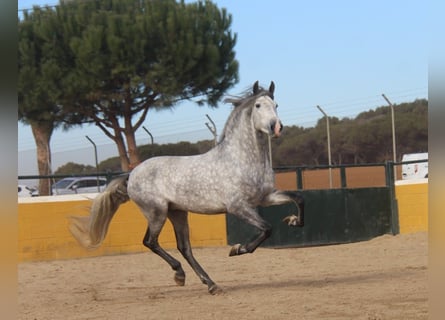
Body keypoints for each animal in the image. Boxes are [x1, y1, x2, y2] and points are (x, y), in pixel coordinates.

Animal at [69, 80, 304, 296]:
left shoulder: (265, 197)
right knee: (150, 241)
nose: (276, 127)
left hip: (178, 213)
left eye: (276, 104)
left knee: (184, 247)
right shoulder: (238, 206)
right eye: (258, 105)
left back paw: (210, 284)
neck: (240, 159)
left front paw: (293, 221)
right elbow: (267, 228)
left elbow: (297, 198)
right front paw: (237, 249)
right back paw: (180, 274)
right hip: (157, 212)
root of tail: (132, 174)